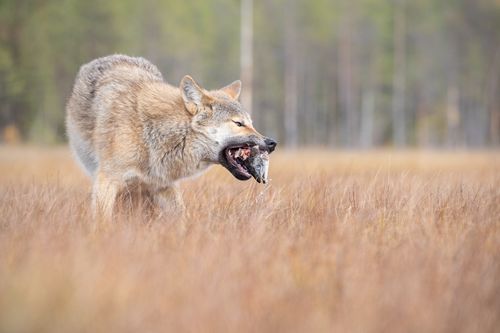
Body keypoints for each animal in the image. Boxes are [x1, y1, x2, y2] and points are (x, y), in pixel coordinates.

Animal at [64, 53, 276, 218]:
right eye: (239, 123)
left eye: (251, 123)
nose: (272, 142)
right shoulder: (107, 181)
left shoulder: (164, 186)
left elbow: (181, 221)